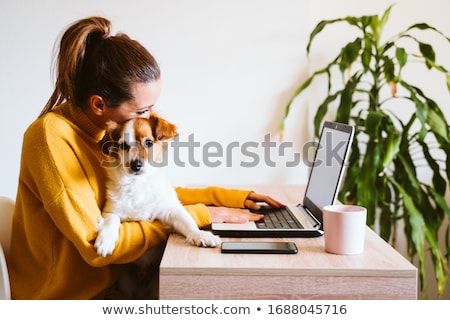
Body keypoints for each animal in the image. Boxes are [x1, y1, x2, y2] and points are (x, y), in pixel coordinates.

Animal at [95, 114, 221, 258]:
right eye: (123, 145)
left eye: (149, 142)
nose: (136, 165)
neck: (139, 183)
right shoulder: (111, 210)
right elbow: (111, 221)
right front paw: (105, 240)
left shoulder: (171, 209)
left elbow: (187, 221)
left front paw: (200, 235)